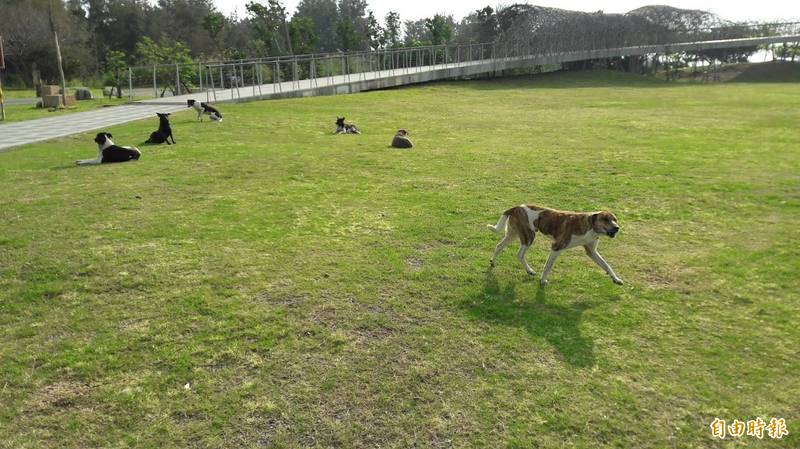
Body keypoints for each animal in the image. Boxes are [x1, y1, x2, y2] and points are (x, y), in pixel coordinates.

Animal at [488, 204, 624, 286]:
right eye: (605, 219)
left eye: (615, 220)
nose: (617, 228)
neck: (590, 226)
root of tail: (516, 207)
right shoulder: (556, 247)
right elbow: (548, 266)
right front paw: (543, 281)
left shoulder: (592, 252)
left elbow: (607, 265)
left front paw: (616, 279)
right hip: (528, 237)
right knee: (519, 254)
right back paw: (529, 270)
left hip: (513, 235)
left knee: (499, 246)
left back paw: (493, 262)